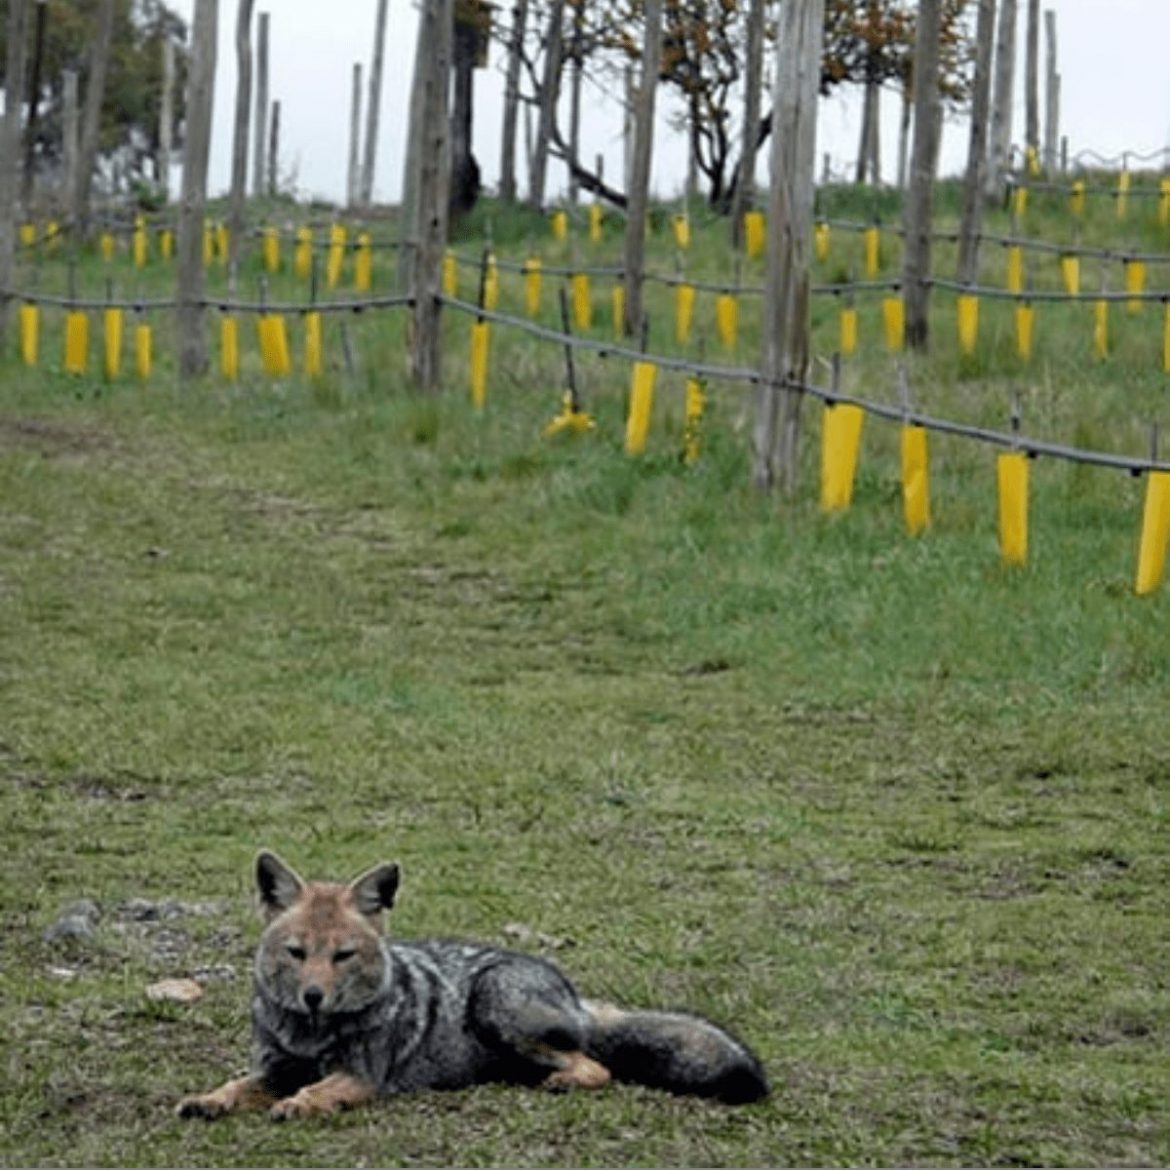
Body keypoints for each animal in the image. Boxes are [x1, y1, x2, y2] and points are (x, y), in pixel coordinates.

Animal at [175, 851, 767, 1123]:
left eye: (343, 956)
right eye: (297, 953)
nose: (313, 996)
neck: (311, 1036)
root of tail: (573, 994)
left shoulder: (361, 1076)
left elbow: (316, 1090)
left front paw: (297, 1105)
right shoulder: (273, 1068)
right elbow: (236, 1085)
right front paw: (209, 1099)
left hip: (495, 1003)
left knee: (598, 1067)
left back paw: (564, 1081)